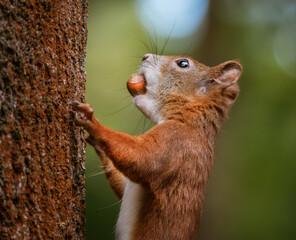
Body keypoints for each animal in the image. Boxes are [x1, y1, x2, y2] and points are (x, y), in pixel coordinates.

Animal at [70, 54, 242, 240]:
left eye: (183, 63)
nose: (145, 56)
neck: (190, 121)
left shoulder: (176, 143)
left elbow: (141, 158)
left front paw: (92, 122)